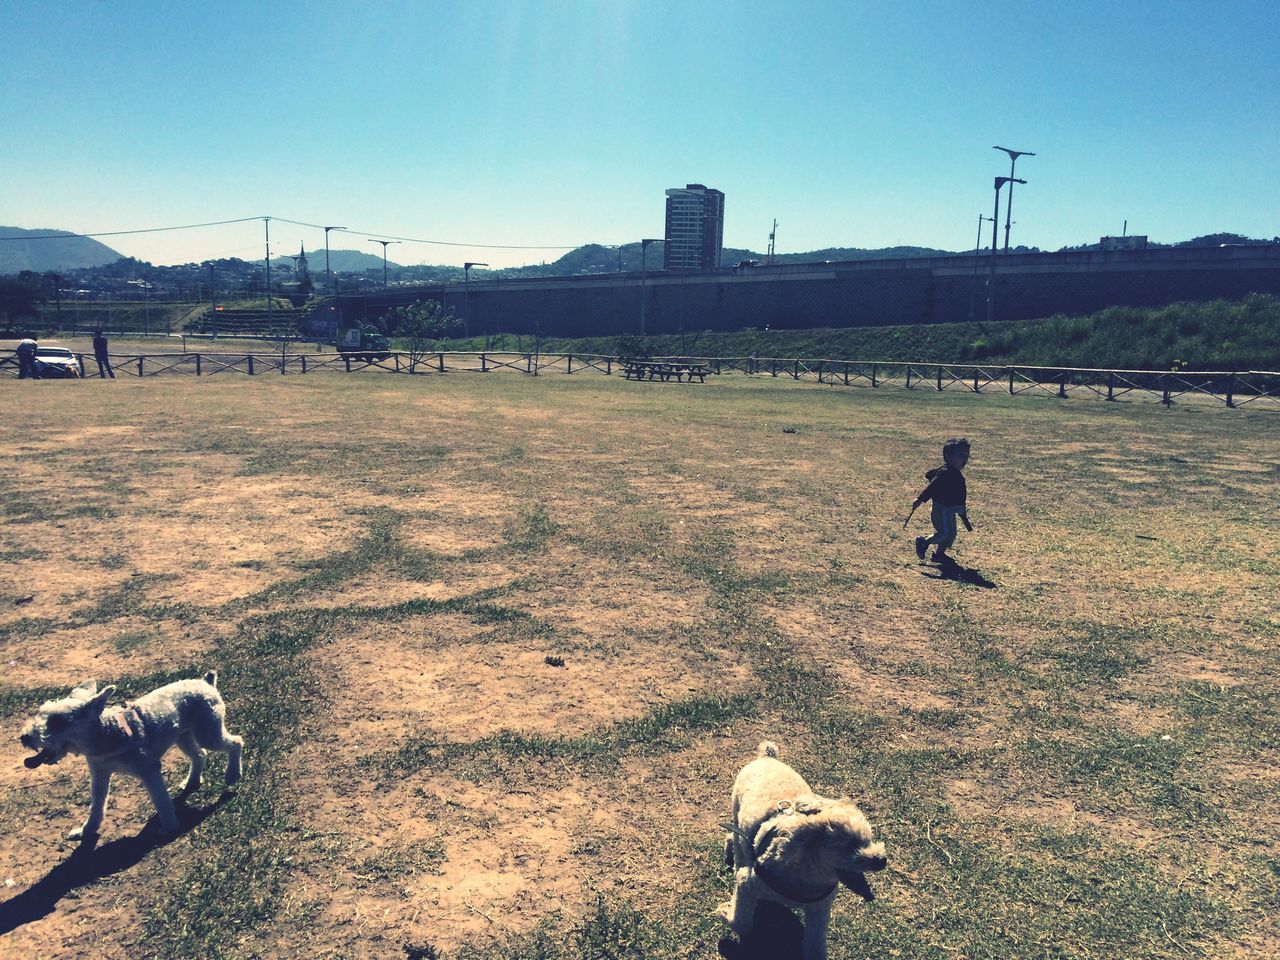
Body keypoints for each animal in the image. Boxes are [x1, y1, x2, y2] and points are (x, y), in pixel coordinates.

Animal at [19, 670, 241, 839]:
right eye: (40, 712)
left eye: (57, 721)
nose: (24, 737)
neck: (107, 735)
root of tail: (206, 682)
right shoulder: (99, 775)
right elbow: (96, 806)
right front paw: (85, 830)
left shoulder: (149, 770)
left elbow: (161, 800)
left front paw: (169, 828)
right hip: (183, 737)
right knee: (199, 755)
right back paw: (191, 782)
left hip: (208, 733)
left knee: (236, 742)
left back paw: (232, 774)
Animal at [716, 742, 885, 960]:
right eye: (850, 845)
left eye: (869, 839)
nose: (882, 859)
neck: (808, 876)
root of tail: (767, 757)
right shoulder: (748, 885)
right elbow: (742, 924)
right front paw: (726, 913)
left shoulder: (819, 911)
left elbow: (815, 947)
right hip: (736, 812)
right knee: (738, 848)